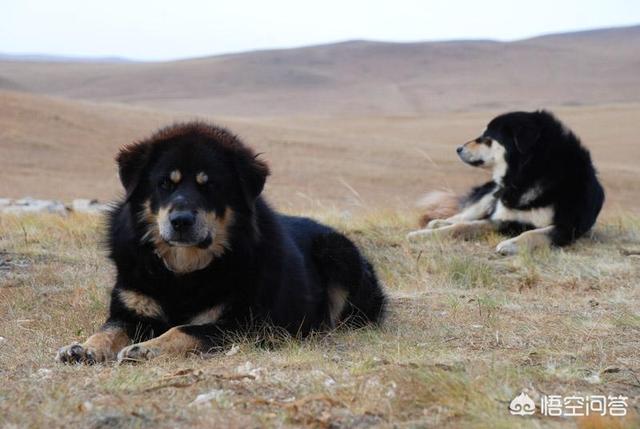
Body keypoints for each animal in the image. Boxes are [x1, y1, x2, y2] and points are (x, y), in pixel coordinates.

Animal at [56, 122, 384, 362]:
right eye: (165, 183)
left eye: (210, 185)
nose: (181, 220)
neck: (182, 272)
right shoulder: (129, 311)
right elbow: (108, 330)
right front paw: (84, 347)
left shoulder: (240, 323)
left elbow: (184, 330)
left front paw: (148, 348)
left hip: (336, 252)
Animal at [410, 108, 604, 254]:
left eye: (487, 138)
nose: (458, 148)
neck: (529, 172)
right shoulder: (502, 219)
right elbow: (463, 226)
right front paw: (421, 235)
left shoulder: (566, 227)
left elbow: (533, 234)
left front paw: (511, 244)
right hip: (490, 195)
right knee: (463, 216)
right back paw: (438, 223)